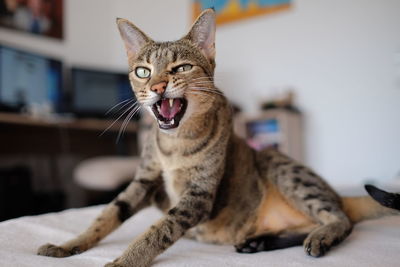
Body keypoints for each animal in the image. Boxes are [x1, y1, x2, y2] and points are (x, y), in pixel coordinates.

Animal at [37, 8, 400, 267]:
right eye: (142, 71)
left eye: (182, 68)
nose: (157, 86)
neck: (174, 144)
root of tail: (340, 196)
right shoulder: (143, 182)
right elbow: (107, 215)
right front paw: (69, 245)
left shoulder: (198, 196)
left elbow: (157, 231)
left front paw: (122, 261)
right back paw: (260, 242)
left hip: (278, 164)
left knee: (340, 219)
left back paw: (321, 236)